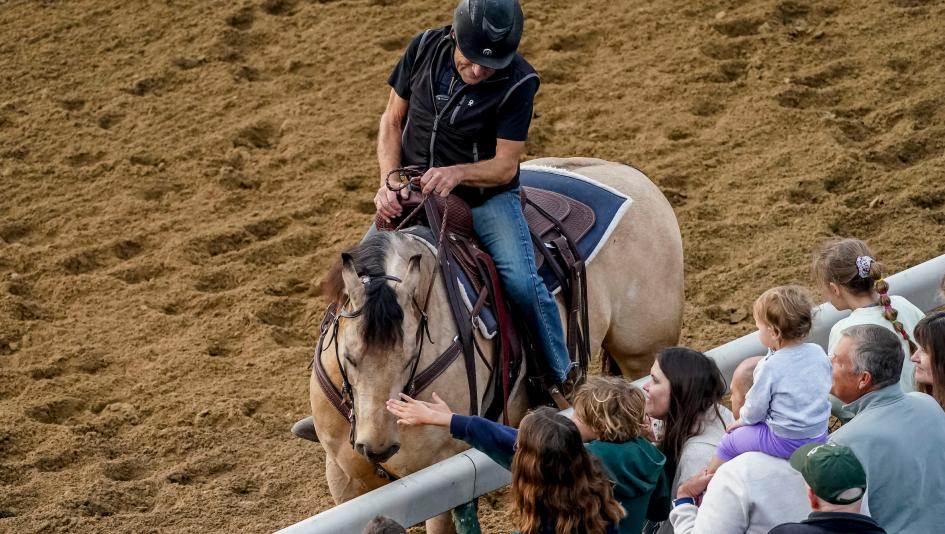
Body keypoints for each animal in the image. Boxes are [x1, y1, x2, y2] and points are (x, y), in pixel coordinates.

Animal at [308, 157, 684, 533]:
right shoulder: (343, 479)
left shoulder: (440, 479)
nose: (376, 447)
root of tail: (631, 175)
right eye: (348, 356)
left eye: (410, 357)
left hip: (643, 354)